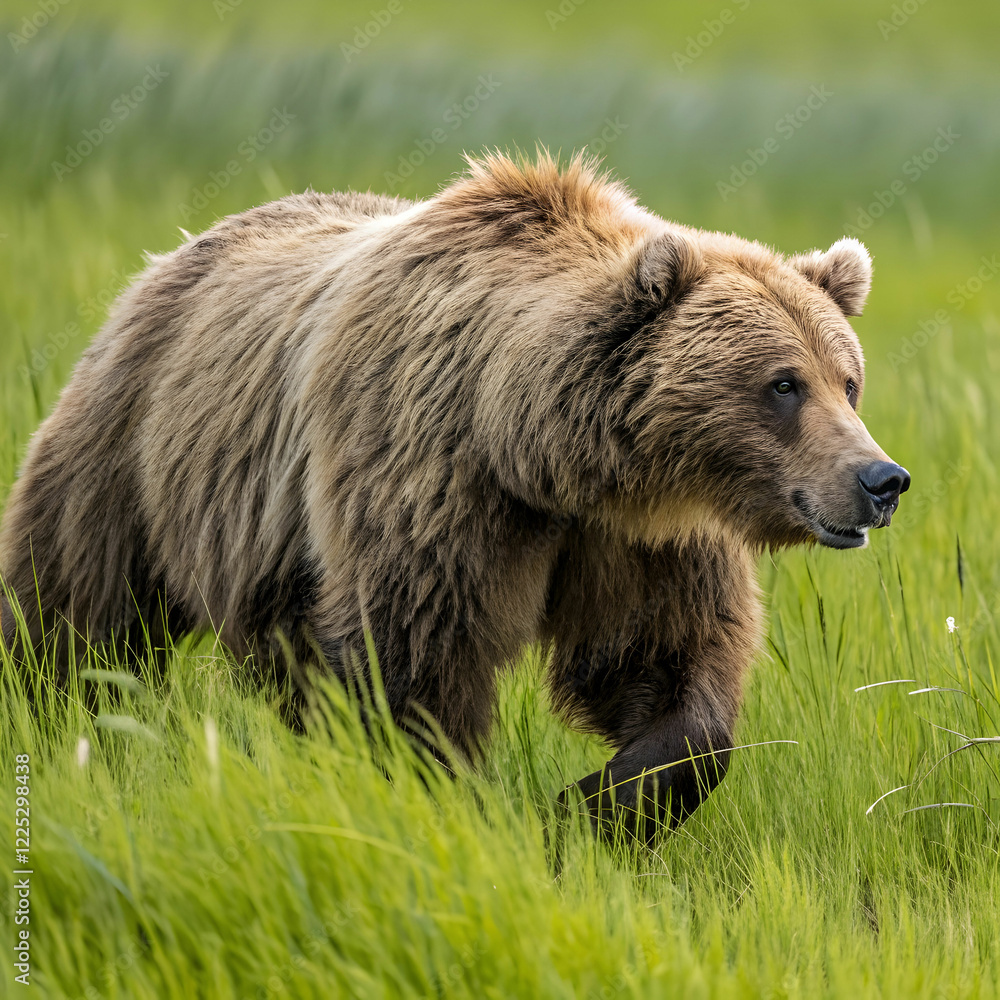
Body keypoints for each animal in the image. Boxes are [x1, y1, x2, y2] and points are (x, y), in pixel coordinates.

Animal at [0, 152, 909, 841]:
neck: (539, 452)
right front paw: (458, 809)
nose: (881, 480)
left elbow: (667, 669)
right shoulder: (433, 483)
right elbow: (414, 663)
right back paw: (48, 712)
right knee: (74, 616)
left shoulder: (636, 537)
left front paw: (591, 806)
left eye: (848, 381)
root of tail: (173, 258)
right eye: (783, 384)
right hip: (135, 452)